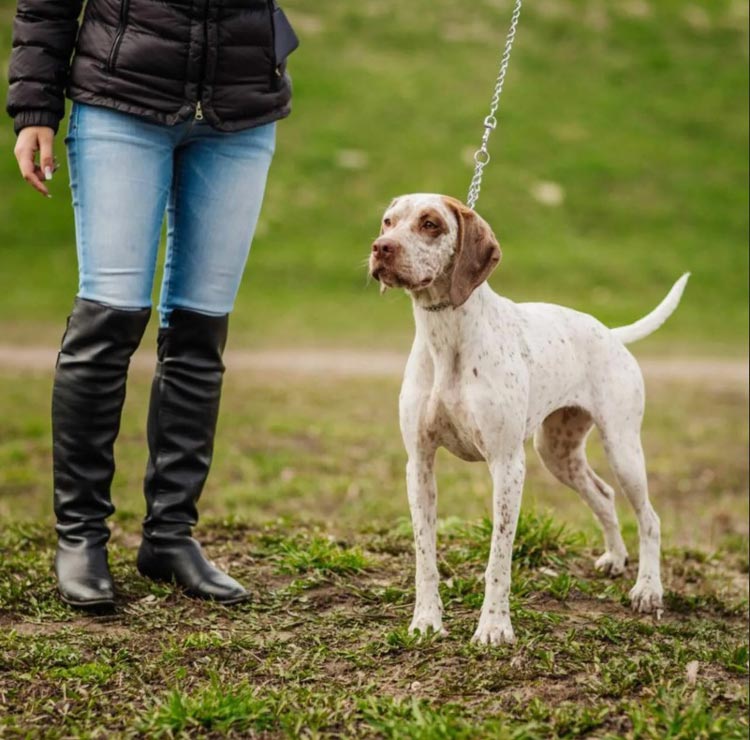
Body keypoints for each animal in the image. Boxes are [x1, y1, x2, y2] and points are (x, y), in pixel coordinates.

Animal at [368, 194, 692, 644]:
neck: (447, 334)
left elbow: (498, 560)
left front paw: (494, 626)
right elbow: (425, 556)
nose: (381, 247)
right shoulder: (419, 464)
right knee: (604, 495)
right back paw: (614, 557)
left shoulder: (507, 466)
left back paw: (647, 589)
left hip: (623, 449)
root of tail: (610, 333)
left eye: (430, 224)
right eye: (388, 222)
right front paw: (426, 620)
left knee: (650, 518)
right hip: (557, 453)